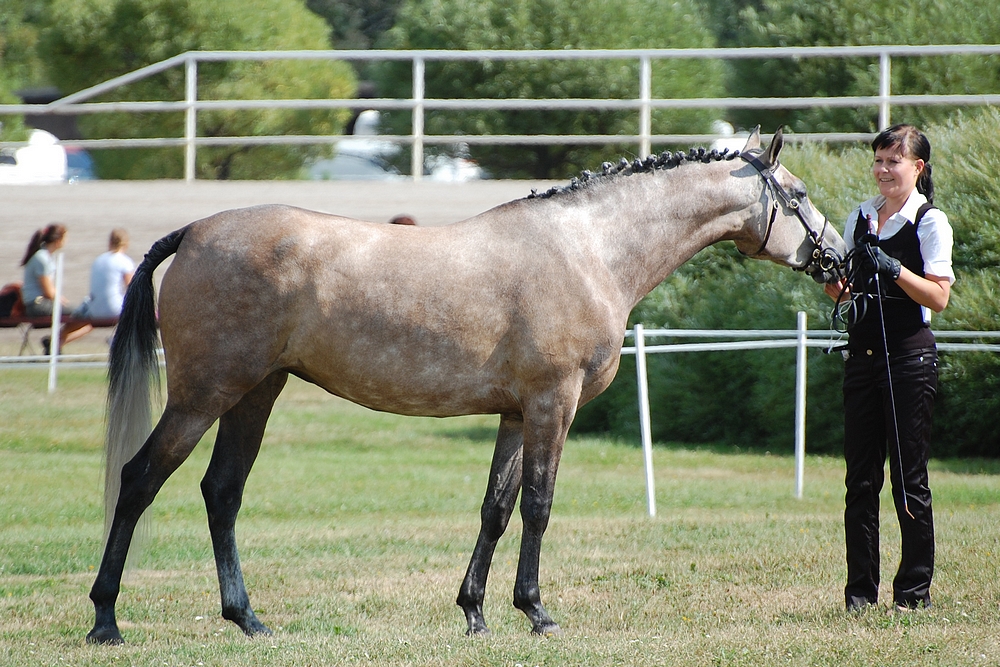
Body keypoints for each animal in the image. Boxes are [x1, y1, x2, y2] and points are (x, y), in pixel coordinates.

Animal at [86, 127, 845, 644]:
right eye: (800, 195)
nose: (839, 259)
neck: (589, 249)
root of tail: (193, 230)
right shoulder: (552, 404)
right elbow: (538, 505)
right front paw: (537, 610)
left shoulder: (515, 413)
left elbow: (496, 509)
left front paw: (476, 611)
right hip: (203, 396)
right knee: (141, 479)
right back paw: (106, 619)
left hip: (255, 394)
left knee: (222, 492)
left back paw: (247, 618)